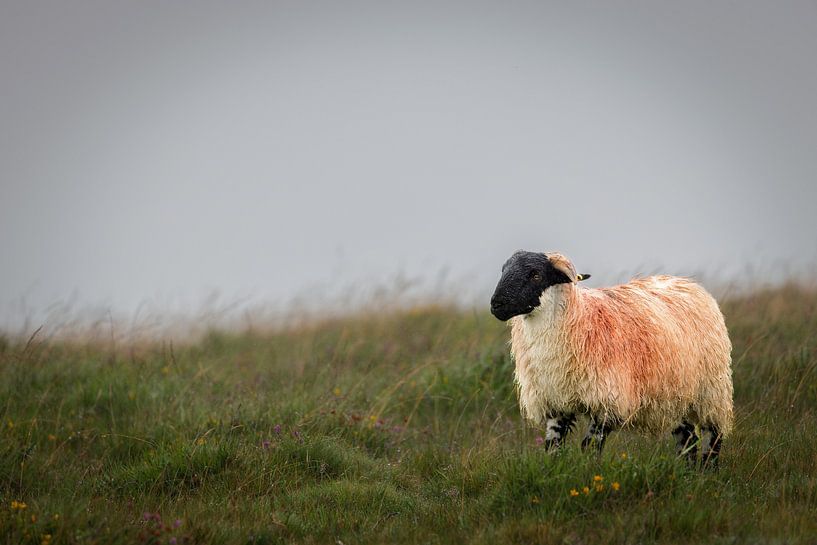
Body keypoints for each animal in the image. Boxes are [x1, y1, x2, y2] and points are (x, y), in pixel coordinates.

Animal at [489, 250, 733, 466]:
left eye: (536, 274)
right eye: (503, 270)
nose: (496, 304)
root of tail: (689, 283)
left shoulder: (606, 401)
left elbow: (590, 445)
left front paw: (589, 472)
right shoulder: (556, 401)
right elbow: (553, 446)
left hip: (711, 390)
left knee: (713, 435)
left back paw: (707, 472)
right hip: (673, 396)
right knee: (688, 438)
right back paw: (687, 473)